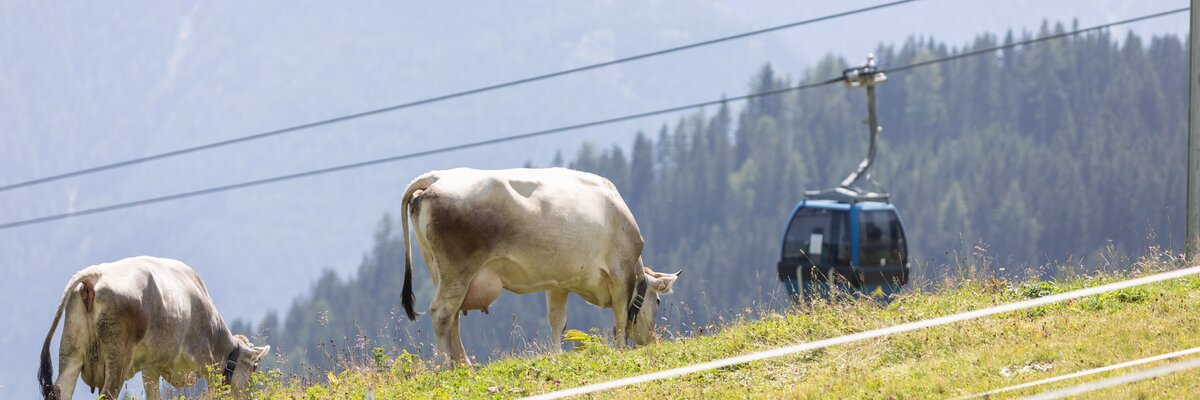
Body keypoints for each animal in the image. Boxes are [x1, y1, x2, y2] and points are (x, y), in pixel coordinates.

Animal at [39, 255, 272, 398]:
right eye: (254, 369)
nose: (249, 396)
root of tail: (95, 274)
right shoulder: (206, 361)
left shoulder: (150, 368)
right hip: (117, 358)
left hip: (71, 349)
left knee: (60, 389)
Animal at [403, 166, 686, 362]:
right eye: (657, 301)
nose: (650, 341)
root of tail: (437, 178)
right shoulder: (620, 275)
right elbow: (620, 319)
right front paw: (619, 350)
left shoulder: (559, 283)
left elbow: (557, 320)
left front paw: (556, 354)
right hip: (458, 269)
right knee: (442, 313)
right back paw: (445, 367)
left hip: (440, 270)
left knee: (453, 318)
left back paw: (463, 366)